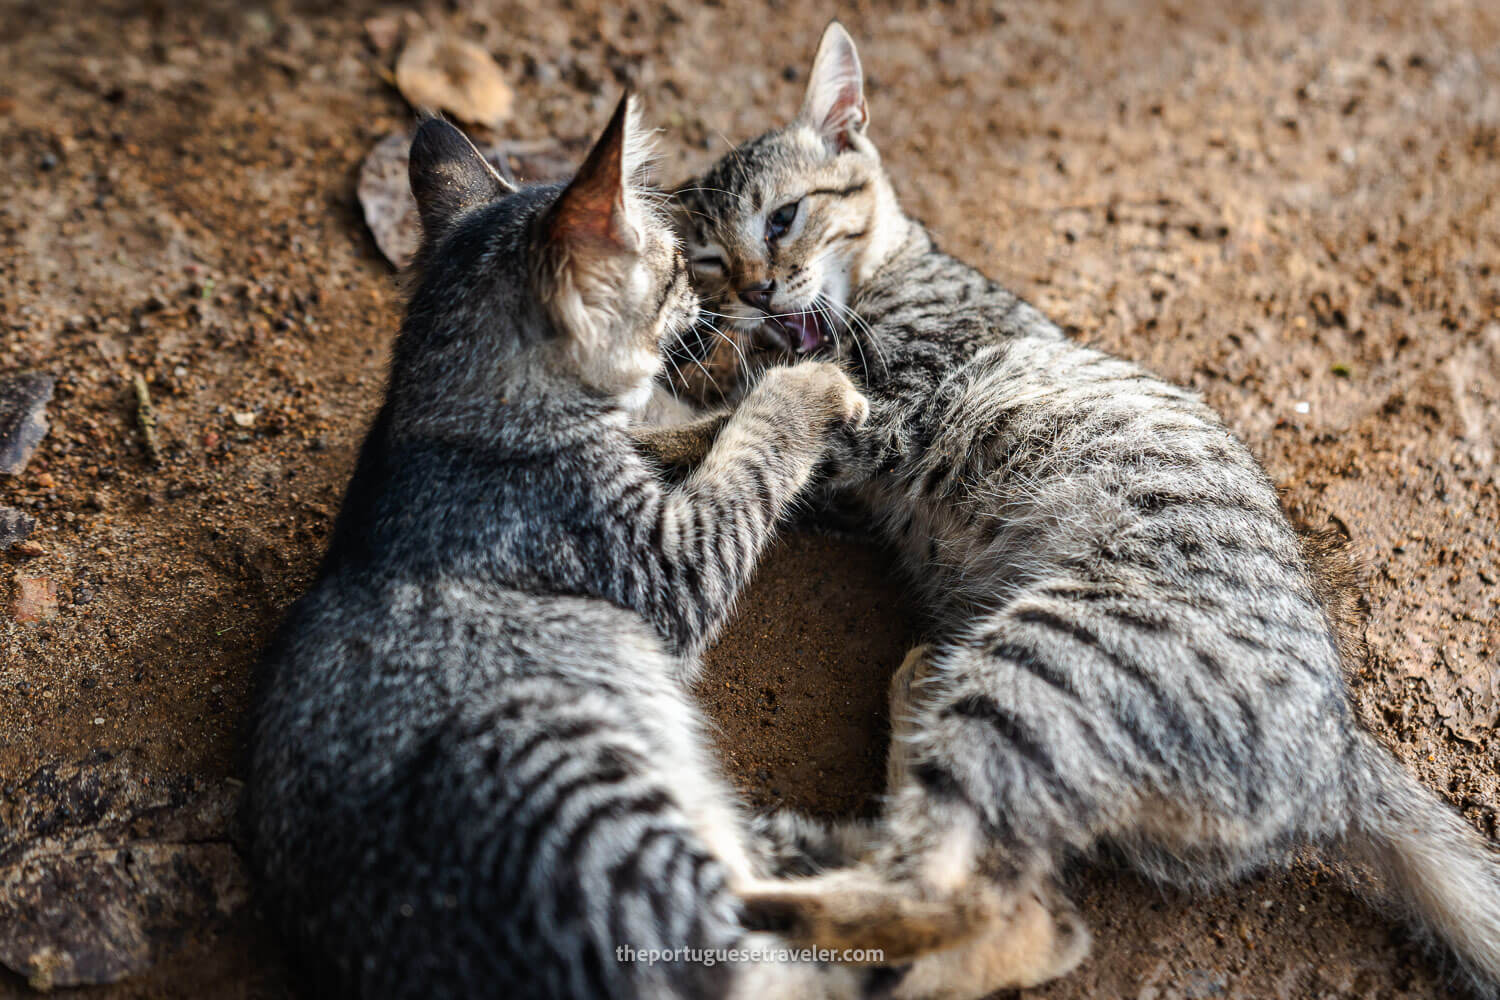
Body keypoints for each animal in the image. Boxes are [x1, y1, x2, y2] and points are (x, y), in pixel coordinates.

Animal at [244, 99, 978, 1000]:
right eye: (681, 265)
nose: (712, 301)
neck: (442, 409)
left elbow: (699, 430)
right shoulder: (670, 565)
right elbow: (753, 438)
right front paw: (810, 379)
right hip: (571, 769)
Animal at [675, 25, 1500, 1000]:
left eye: (781, 219)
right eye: (710, 263)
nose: (756, 293)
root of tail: (1339, 757)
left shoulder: (888, 413)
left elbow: (721, 424)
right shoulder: (846, 470)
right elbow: (726, 417)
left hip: (1045, 665)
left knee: (967, 902)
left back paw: (764, 890)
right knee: (1010, 912)